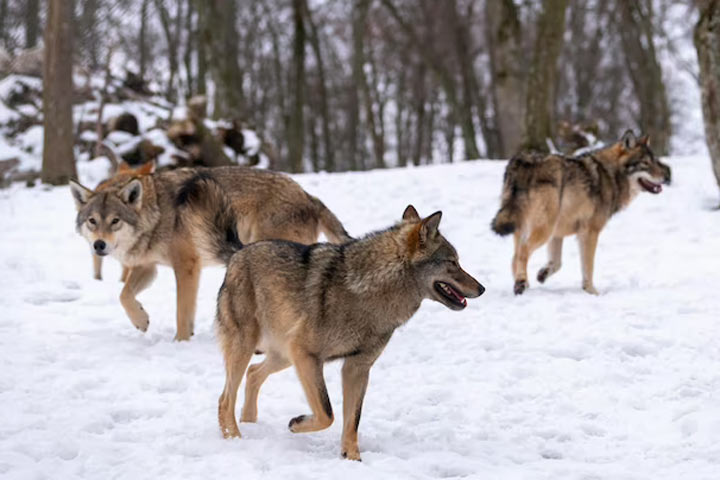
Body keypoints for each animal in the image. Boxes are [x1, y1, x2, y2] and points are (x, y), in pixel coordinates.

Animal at [69, 167, 350, 340]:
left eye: (115, 221)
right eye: (93, 221)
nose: (99, 245)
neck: (157, 213)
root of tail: (309, 196)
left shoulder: (187, 266)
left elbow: (182, 312)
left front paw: (180, 341)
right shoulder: (148, 267)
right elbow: (124, 295)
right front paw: (141, 320)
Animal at [214, 205, 484, 462]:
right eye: (453, 263)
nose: (482, 288)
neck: (368, 294)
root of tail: (238, 253)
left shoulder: (356, 367)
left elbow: (352, 419)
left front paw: (352, 458)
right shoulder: (307, 355)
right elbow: (327, 413)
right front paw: (296, 424)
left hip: (283, 355)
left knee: (252, 374)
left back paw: (250, 423)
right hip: (253, 348)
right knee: (225, 398)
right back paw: (235, 439)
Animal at [492, 131, 672, 296]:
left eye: (654, 161)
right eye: (645, 163)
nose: (667, 176)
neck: (610, 176)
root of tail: (523, 161)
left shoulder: (558, 233)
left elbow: (556, 263)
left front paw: (542, 274)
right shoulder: (590, 231)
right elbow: (588, 266)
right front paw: (591, 291)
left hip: (528, 227)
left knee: (514, 257)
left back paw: (523, 284)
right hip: (544, 229)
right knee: (522, 252)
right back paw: (520, 284)